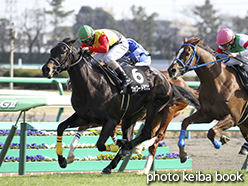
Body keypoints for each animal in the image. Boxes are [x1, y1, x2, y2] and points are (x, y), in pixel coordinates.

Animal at [41, 37, 197, 170]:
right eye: (51, 50)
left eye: (63, 51)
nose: (46, 69)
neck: (91, 84)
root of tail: (168, 81)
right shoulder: (84, 116)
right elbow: (61, 127)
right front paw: (62, 160)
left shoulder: (111, 120)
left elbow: (100, 144)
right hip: (133, 118)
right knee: (141, 137)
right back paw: (114, 164)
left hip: (159, 109)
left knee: (150, 134)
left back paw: (132, 152)